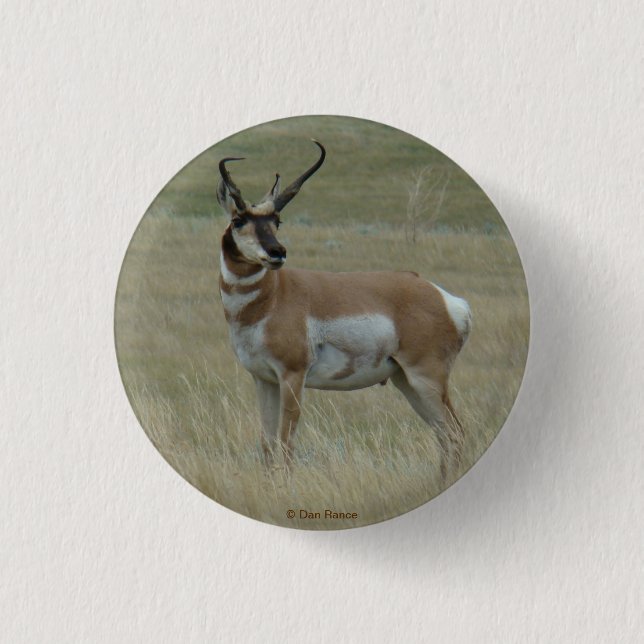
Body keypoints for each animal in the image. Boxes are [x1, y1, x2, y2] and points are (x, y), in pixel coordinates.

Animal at [216, 141, 471, 481]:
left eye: (277, 221)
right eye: (238, 220)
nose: (277, 252)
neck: (272, 297)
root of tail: (445, 298)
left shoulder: (292, 377)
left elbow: (286, 443)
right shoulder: (264, 379)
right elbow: (267, 444)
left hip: (426, 379)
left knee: (455, 433)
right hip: (407, 382)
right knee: (444, 433)